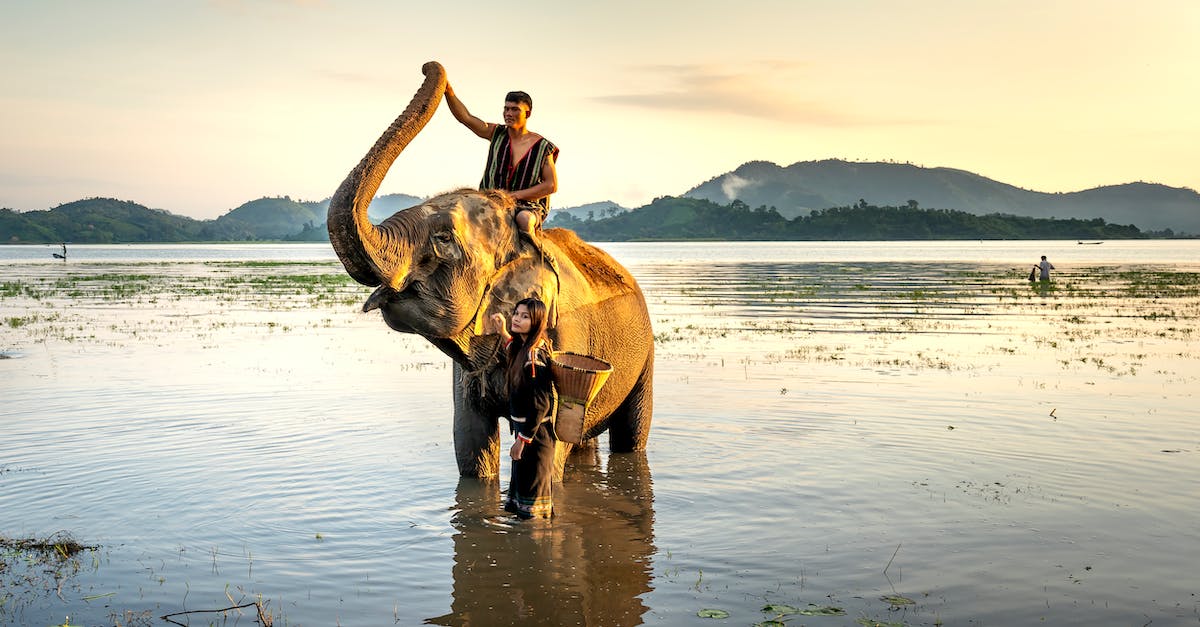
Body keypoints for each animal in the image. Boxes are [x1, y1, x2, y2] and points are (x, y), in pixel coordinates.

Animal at [326, 60, 657, 475]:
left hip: (645, 355)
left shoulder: (565, 337)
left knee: (630, 434)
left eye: (443, 238)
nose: (428, 65)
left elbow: (546, 441)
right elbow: (471, 443)